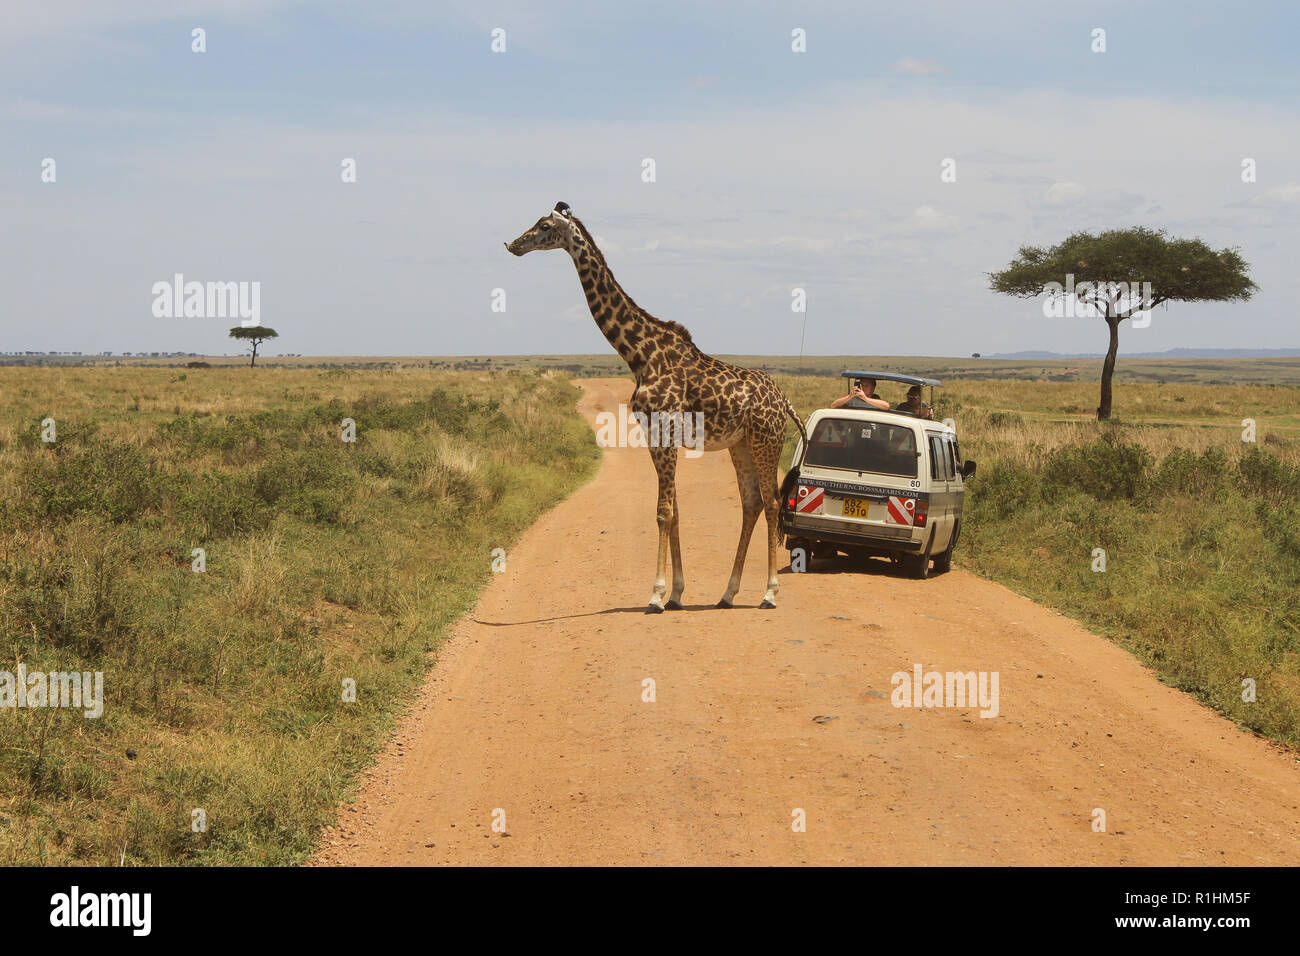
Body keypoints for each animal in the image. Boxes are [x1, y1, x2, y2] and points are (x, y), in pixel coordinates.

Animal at [504, 201, 800, 613]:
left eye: (545, 225)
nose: (513, 244)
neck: (639, 356)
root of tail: (784, 399)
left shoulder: (665, 430)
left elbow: (663, 512)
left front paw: (657, 595)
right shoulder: (652, 434)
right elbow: (673, 511)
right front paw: (676, 593)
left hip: (766, 441)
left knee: (771, 503)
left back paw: (769, 593)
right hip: (740, 444)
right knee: (751, 503)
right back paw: (727, 593)